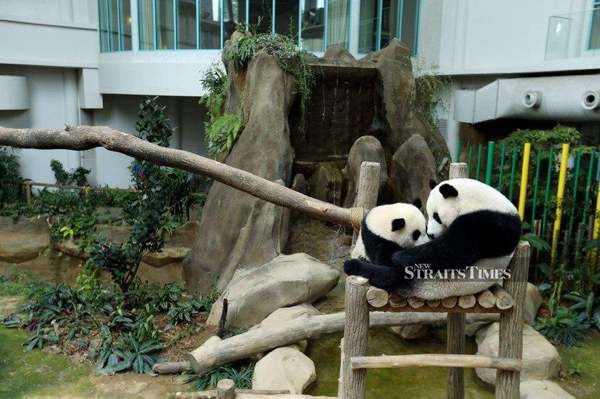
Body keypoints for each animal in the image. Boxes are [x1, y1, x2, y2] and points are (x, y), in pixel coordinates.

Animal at [344, 178, 524, 300]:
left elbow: (454, 251)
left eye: (436, 216)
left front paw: (398, 256)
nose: (430, 235)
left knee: (391, 275)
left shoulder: (489, 224)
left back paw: (355, 265)